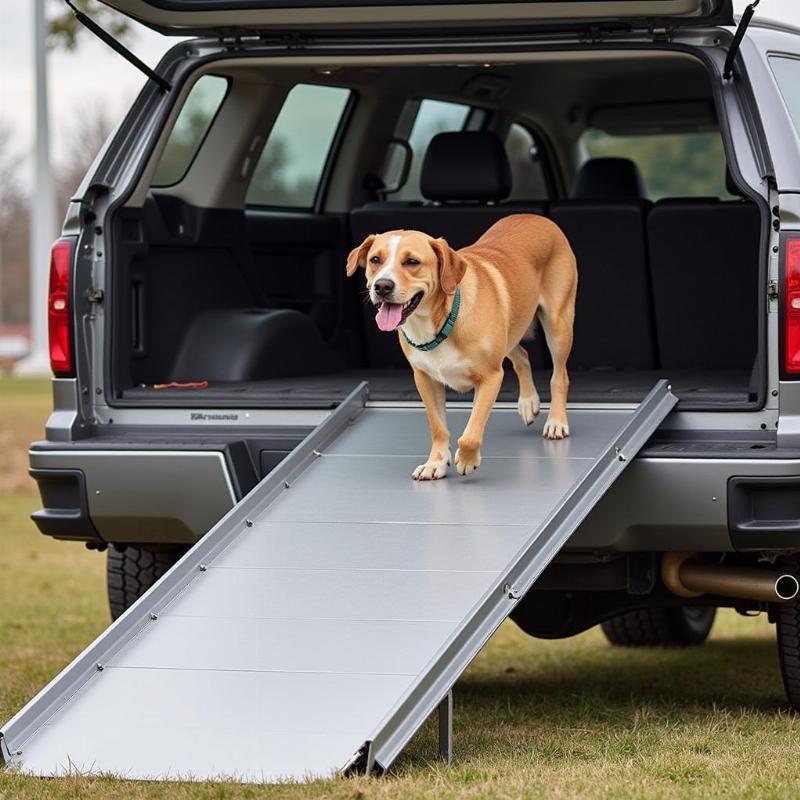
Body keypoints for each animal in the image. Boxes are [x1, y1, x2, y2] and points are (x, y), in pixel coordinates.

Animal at [346, 211, 580, 482]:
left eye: (412, 262)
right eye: (375, 260)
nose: (382, 286)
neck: (440, 322)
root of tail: (534, 216)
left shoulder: (490, 377)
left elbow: (470, 434)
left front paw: (467, 459)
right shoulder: (425, 379)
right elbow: (438, 427)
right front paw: (435, 463)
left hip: (557, 324)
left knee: (559, 377)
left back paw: (557, 421)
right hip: (511, 324)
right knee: (522, 355)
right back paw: (528, 401)